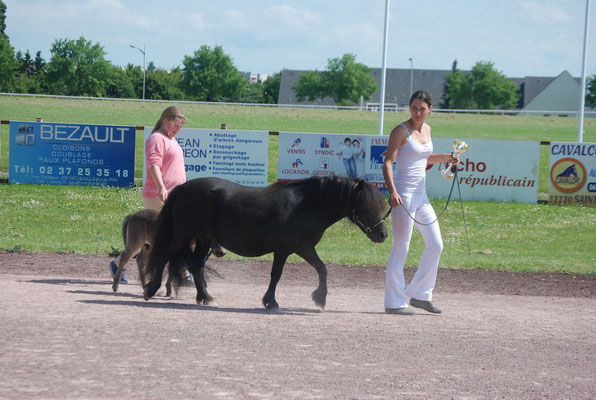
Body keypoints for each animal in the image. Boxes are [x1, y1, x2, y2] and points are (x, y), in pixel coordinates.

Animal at [142, 175, 388, 310]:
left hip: (204, 238)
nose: (383, 234)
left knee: (195, 263)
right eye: (365, 206)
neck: (306, 206)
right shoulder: (283, 250)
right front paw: (271, 302)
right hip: (183, 235)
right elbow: (276, 275)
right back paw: (150, 289)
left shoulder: (304, 248)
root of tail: (182, 188)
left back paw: (206, 297)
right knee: (164, 256)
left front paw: (320, 298)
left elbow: (322, 269)